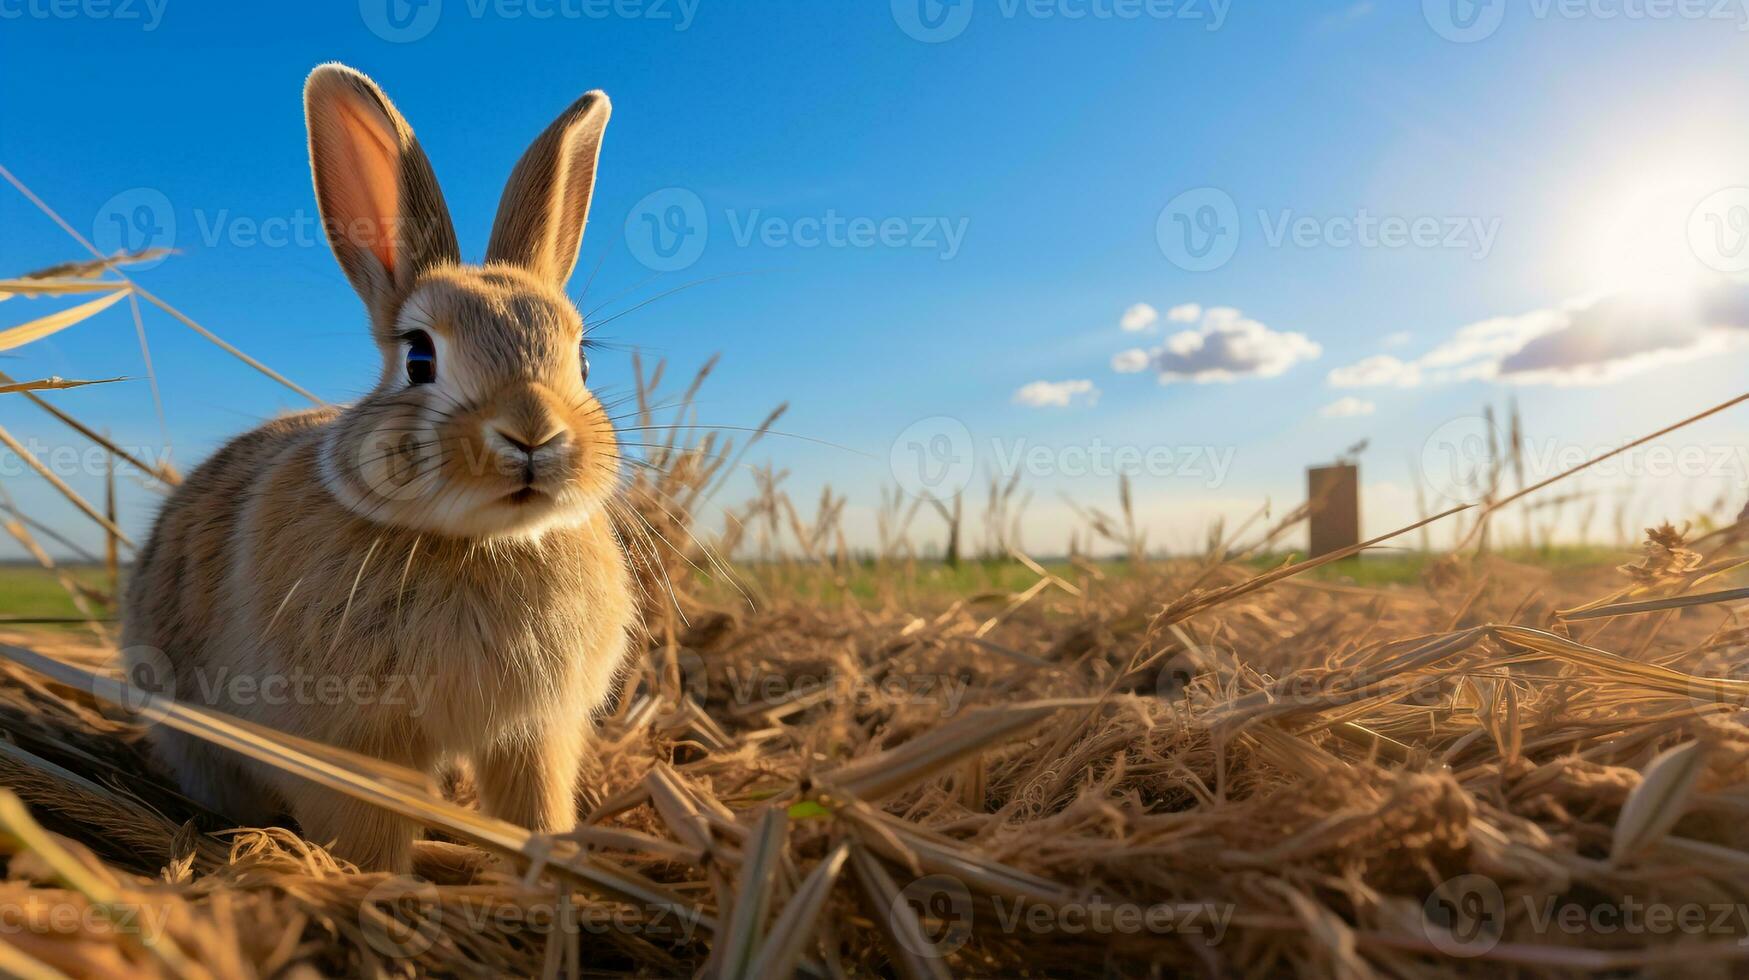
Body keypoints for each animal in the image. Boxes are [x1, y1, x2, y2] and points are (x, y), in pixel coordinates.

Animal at [125, 63, 643, 871]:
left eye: (582, 360)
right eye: (419, 357)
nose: (533, 434)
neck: (478, 545)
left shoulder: (536, 735)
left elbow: (534, 806)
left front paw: (544, 863)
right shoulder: (348, 745)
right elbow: (367, 834)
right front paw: (381, 882)